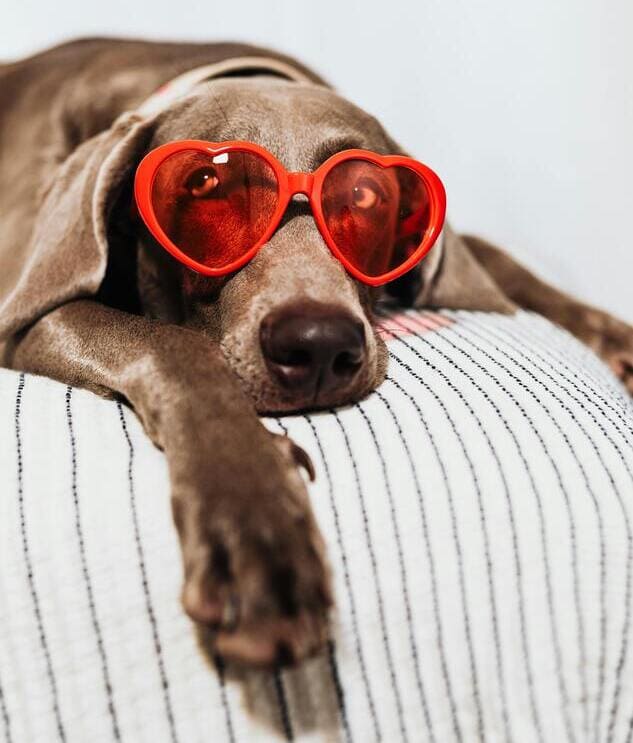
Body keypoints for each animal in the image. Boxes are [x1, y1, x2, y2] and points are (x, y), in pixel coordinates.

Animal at [1, 36, 632, 668]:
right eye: (205, 183)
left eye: (366, 194)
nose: (319, 345)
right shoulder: (24, 314)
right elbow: (172, 344)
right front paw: (254, 523)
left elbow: (497, 259)